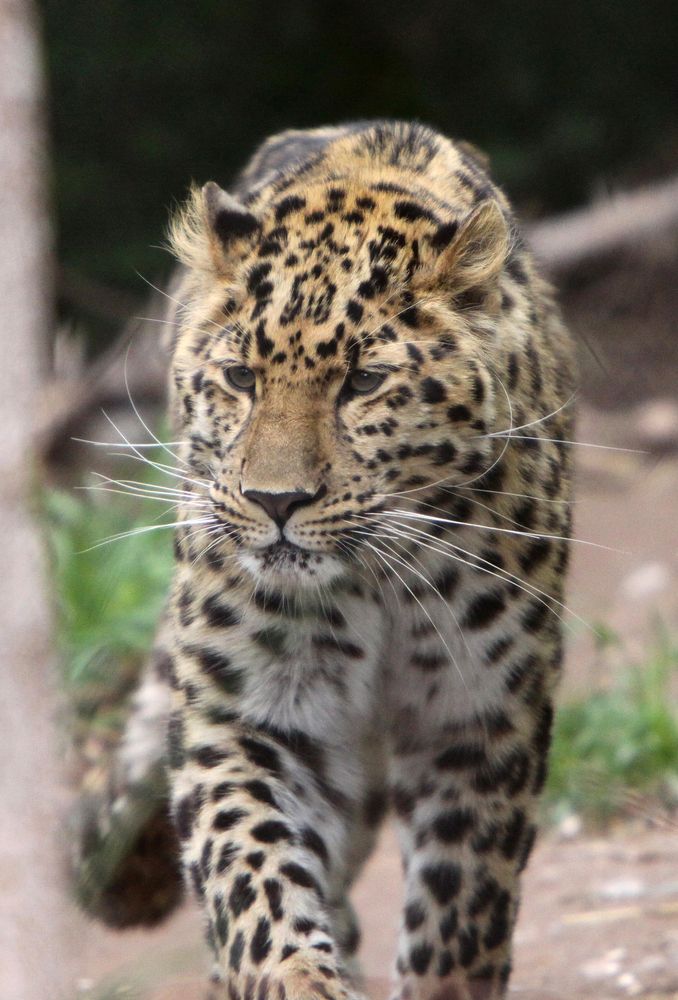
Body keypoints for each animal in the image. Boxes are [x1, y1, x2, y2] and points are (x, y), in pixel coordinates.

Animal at [154, 120, 575, 1000]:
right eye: (240, 377)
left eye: (365, 382)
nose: (275, 501)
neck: (374, 585)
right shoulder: (244, 714)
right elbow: (254, 879)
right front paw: (299, 977)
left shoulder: (479, 719)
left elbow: (460, 912)